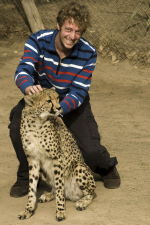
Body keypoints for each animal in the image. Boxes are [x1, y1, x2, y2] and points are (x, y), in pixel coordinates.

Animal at [17, 88, 95, 221]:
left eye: (57, 98)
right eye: (48, 100)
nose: (59, 108)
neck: (36, 122)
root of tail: (71, 195)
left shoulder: (57, 158)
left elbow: (59, 186)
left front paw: (60, 211)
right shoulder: (33, 159)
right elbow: (32, 188)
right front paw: (28, 210)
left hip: (78, 166)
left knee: (91, 193)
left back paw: (82, 202)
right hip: (44, 171)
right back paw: (48, 195)